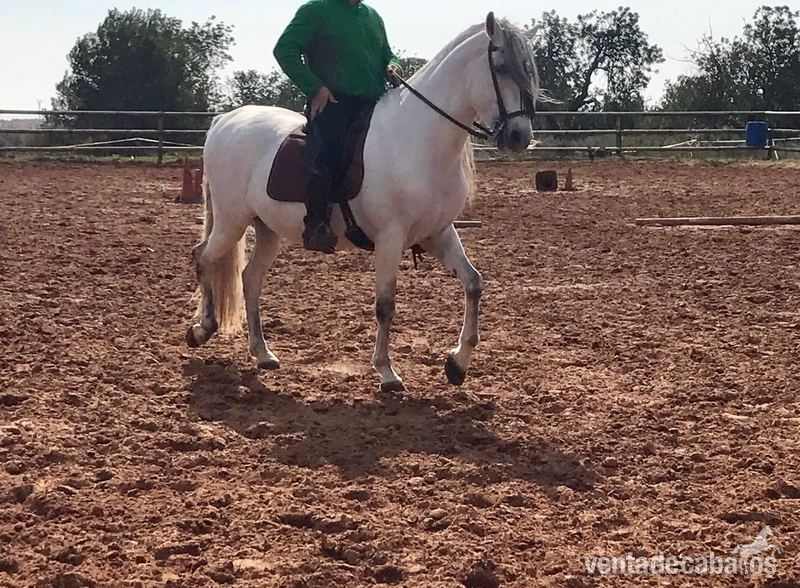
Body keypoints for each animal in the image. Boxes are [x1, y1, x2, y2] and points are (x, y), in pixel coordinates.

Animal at [186, 13, 542, 393]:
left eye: (527, 69)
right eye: (501, 67)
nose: (520, 136)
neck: (418, 138)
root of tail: (225, 120)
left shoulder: (439, 233)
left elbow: (474, 284)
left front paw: (457, 364)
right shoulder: (390, 238)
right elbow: (385, 304)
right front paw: (386, 371)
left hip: (266, 229)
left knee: (249, 278)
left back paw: (262, 353)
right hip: (231, 221)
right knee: (203, 257)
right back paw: (201, 330)